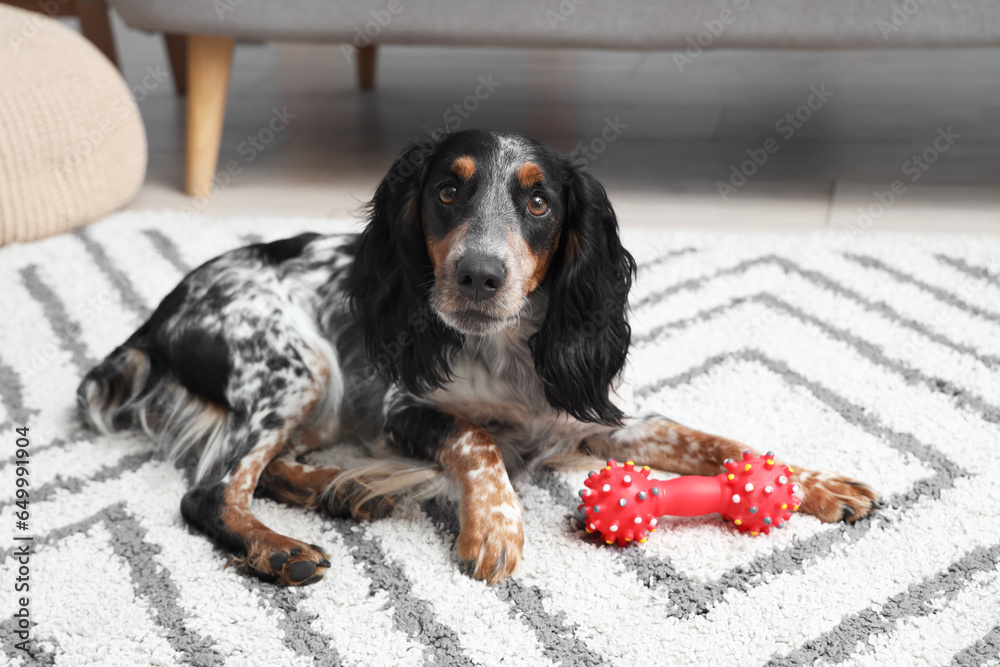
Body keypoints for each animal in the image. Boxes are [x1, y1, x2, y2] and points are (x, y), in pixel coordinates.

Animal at [78, 129, 876, 584]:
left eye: (540, 203)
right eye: (447, 188)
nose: (479, 276)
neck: (510, 354)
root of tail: (159, 313)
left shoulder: (598, 417)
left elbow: (719, 443)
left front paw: (813, 483)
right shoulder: (402, 408)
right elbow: (477, 437)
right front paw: (495, 525)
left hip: (320, 399)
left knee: (264, 467)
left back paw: (336, 487)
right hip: (298, 368)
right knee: (211, 490)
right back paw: (281, 547)